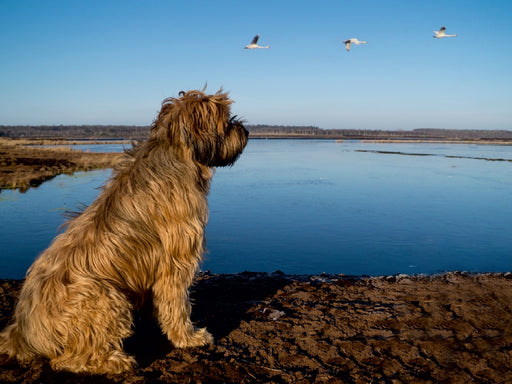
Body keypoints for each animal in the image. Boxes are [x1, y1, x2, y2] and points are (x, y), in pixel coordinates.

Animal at [0, 89, 248, 372]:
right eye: (226, 121)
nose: (246, 131)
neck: (175, 153)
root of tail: (22, 331)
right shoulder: (175, 261)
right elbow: (177, 303)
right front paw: (188, 337)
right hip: (103, 296)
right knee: (68, 360)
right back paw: (115, 361)